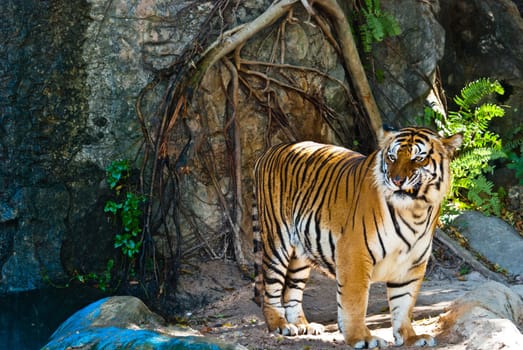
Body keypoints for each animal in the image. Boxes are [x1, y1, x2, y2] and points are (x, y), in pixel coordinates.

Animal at [254, 127, 462, 348]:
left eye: (418, 158)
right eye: (392, 157)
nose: (397, 180)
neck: (415, 212)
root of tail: (271, 150)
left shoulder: (412, 262)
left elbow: (404, 302)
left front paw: (409, 337)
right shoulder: (354, 253)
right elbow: (355, 301)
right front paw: (362, 338)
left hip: (300, 251)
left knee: (292, 289)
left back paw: (303, 325)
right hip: (277, 241)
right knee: (271, 287)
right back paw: (280, 324)